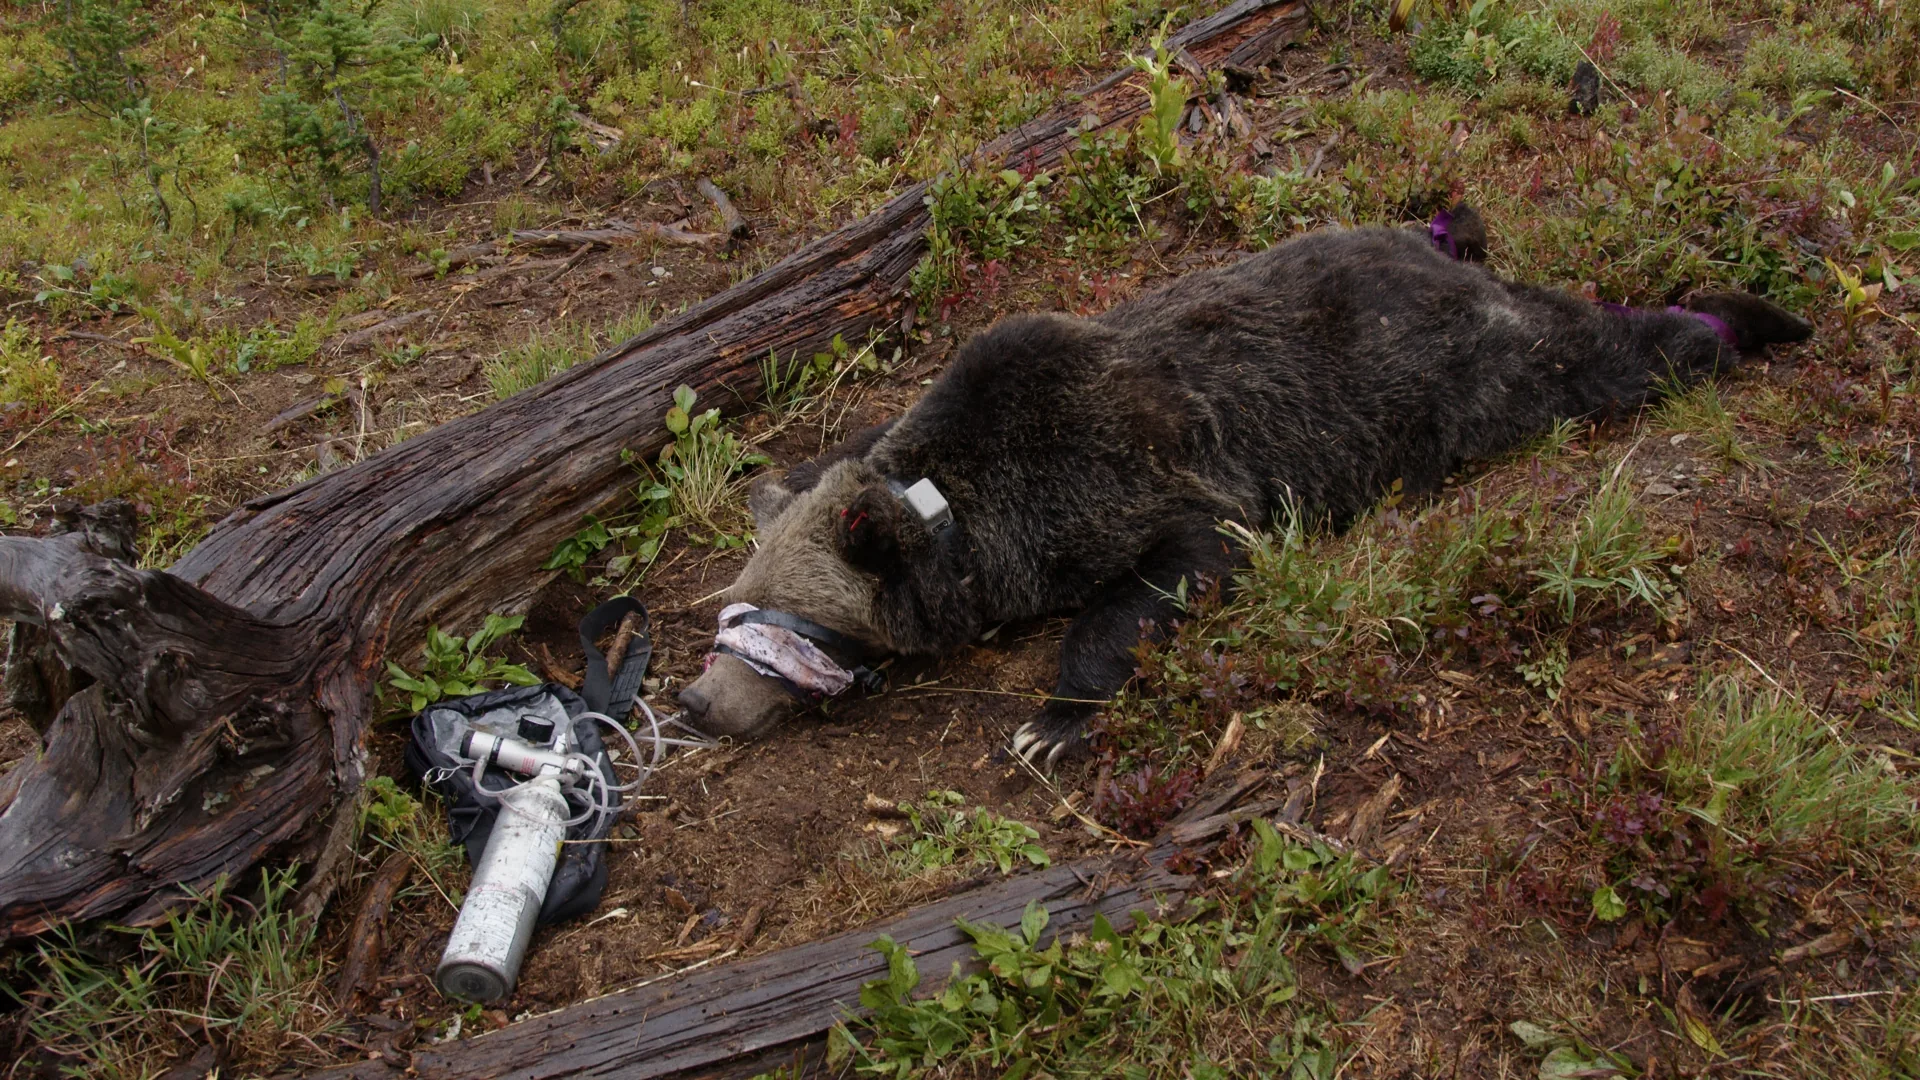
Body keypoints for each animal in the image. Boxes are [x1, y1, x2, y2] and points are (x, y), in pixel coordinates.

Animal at [675, 213, 1810, 764]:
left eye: (797, 626)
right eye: (733, 604)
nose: (695, 701)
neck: (969, 516)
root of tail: (1451, 264)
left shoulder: (1141, 480)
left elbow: (1175, 567)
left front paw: (1053, 721)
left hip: (1482, 373)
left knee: (1597, 352)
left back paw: (1750, 317)